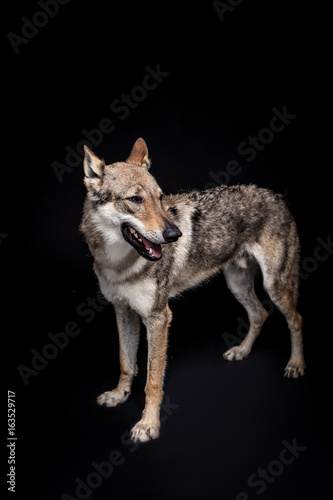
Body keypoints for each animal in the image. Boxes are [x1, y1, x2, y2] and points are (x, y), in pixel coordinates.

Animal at [80, 137, 304, 442]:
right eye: (135, 200)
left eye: (160, 197)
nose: (175, 235)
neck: (119, 263)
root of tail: (276, 196)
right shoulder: (124, 312)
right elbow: (126, 363)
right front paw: (119, 395)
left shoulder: (159, 318)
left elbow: (152, 381)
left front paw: (148, 425)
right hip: (237, 284)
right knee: (260, 314)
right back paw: (242, 352)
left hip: (274, 286)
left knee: (295, 319)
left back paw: (296, 364)